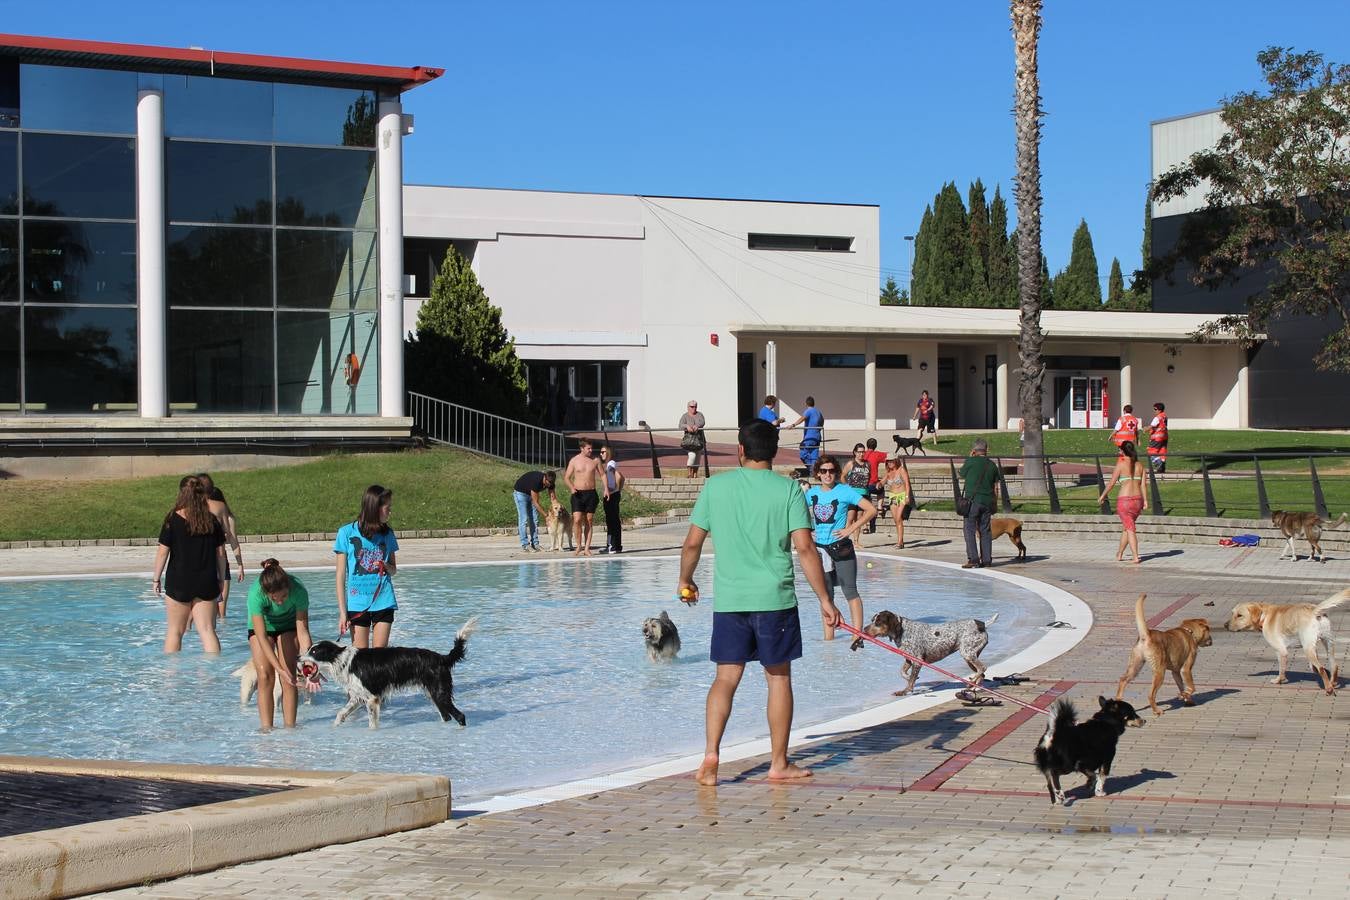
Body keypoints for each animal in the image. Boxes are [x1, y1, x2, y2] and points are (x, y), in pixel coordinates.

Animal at [302, 615, 480, 728]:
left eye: (313, 652)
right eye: (309, 649)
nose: (298, 657)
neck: (343, 660)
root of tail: (441, 658)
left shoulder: (372, 698)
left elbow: (372, 724)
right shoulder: (358, 697)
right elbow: (341, 713)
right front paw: (333, 727)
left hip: (439, 692)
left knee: (460, 716)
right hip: (434, 693)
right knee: (446, 716)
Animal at [847, 612, 999, 696]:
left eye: (878, 622)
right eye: (872, 620)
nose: (864, 629)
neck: (902, 630)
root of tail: (982, 624)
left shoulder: (917, 661)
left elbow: (910, 681)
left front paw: (905, 691)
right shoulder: (909, 659)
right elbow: (903, 673)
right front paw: (908, 678)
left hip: (967, 653)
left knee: (982, 668)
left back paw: (971, 683)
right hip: (969, 656)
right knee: (982, 673)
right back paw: (974, 687)